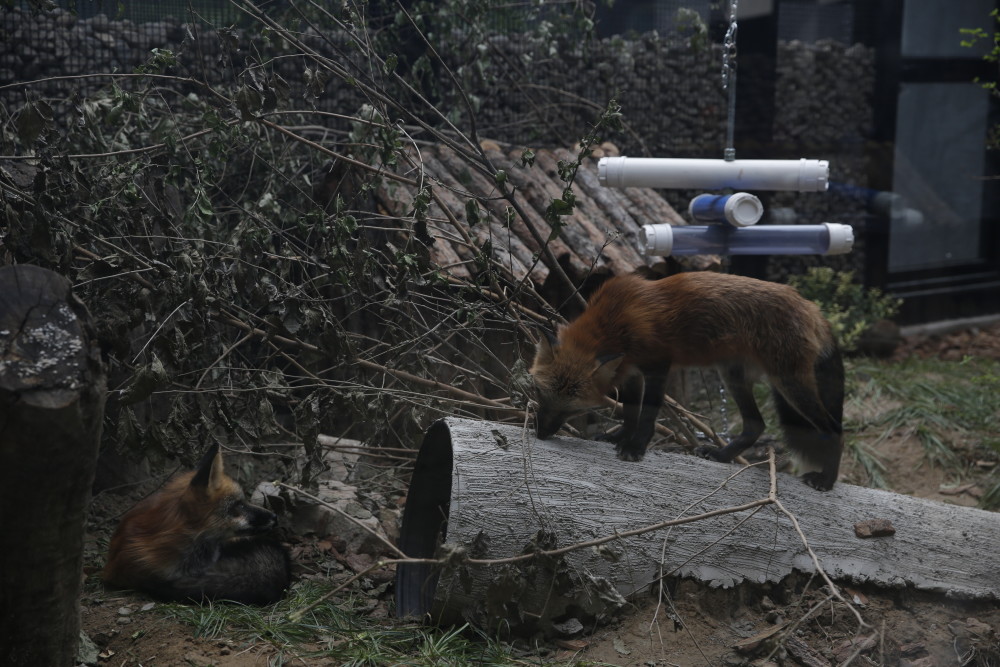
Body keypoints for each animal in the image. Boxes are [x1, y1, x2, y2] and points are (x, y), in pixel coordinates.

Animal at [532, 272, 844, 490]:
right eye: (541, 395)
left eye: (571, 408)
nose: (540, 434)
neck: (616, 321)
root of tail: (811, 306)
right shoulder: (630, 371)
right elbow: (631, 413)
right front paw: (619, 437)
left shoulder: (658, 367)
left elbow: (647, 415)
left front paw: (635, 448)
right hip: (732, 375)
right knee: (756, 424)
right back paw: (722, 455)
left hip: (789, 384)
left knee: (834, 429)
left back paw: (827, 480)